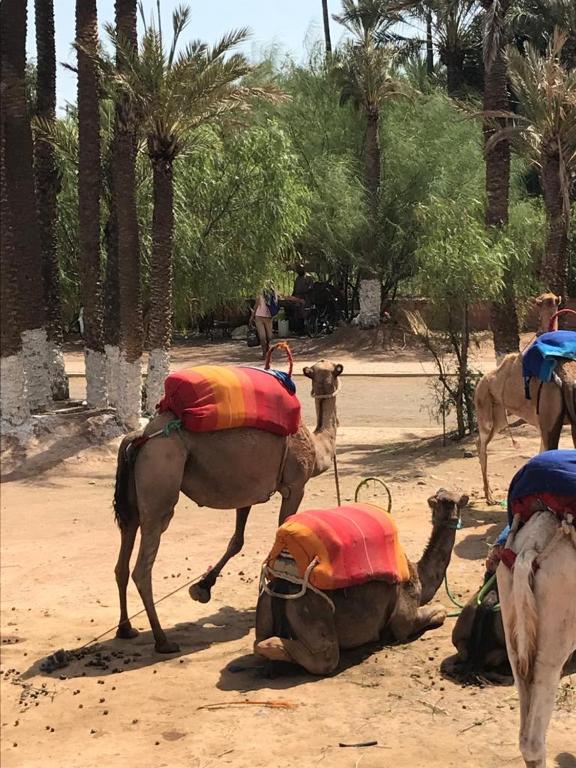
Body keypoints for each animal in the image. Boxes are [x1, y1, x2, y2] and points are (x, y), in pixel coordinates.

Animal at [112, 360, 342, 656]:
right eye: (336, 370)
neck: (315, 446)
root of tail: (141, 434)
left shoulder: (248, 492)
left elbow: (237, 541)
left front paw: (202, 587)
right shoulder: (295, 485)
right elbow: (282, 536)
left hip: (132, 501)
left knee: (122, 559)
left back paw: (125, 629)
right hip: (161, 476)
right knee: (143, 566)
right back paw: (163, 640)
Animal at [254, 488, 466, 676]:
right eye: (448, 501)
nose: (464, 497)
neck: (418, 575)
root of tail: (283, 583)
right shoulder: (405, 618)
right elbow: (438, 613)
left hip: (265, 601)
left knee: (259, 640)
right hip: (311, 609)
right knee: (325, 657)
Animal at [472, 294, 576, 504]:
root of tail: (481, 381)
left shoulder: (545, 424)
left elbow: (542, 453)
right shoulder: (546, 423)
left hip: (500, 416)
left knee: (482, 441)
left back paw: (490, 494)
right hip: (485, 409)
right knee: (481, 442)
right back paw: (489, 496)